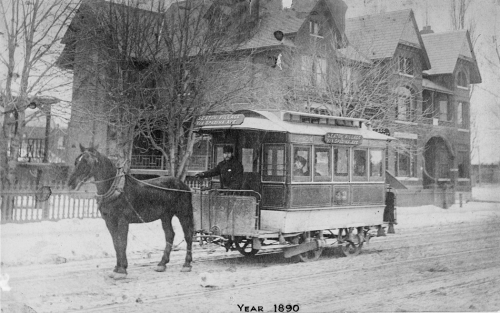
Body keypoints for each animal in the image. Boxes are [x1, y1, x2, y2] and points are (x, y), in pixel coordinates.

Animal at [66, 144, 191, 278]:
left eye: (86, 161)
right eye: (76, 161)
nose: (71, 183)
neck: (116, 189)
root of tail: (183, 185)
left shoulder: (123, 221)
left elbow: (122, 243)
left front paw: (122, 270)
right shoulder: (110, 222)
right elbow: (116, 243)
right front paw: (117, 268)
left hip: (184, 214)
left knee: (188, 235)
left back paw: (187, 264)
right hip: (165, 216)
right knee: (169, 235)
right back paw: (162, 264)